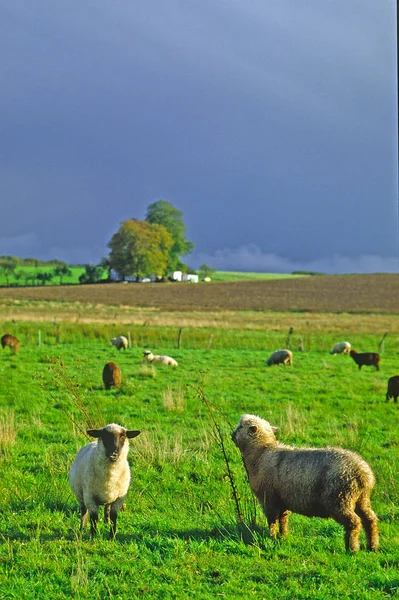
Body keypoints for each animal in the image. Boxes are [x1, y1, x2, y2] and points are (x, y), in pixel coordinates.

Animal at [231, 414, 378, 552]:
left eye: (240, 427)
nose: (232, 435)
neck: (261, 453)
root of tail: (363, 473)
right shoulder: (283, 499)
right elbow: (283, 519)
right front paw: (283, 536)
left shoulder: (269, 499)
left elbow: (272, 520)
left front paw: (271, 537)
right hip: (361, 499)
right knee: (370, 519)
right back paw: (372, 546)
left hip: (340, 499)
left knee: (354, 522)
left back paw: (352, 548)